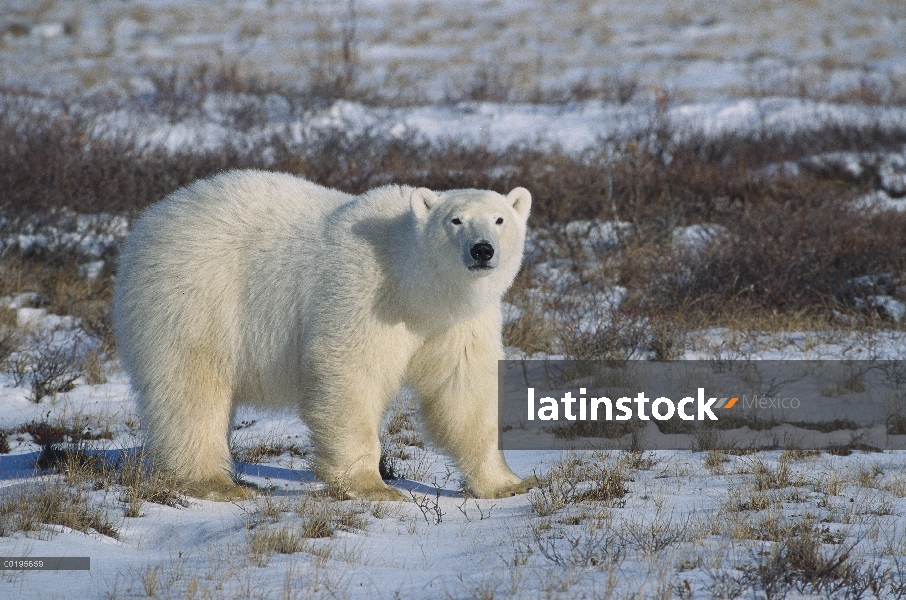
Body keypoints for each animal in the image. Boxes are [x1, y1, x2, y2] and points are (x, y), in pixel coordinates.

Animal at [115, 170, 536, 502]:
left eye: (500, 219)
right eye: (456, 220)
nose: (482, 251)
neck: (418, 287)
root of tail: (150, 220)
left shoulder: (458, 322)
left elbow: (465, 389)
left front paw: (509, 483)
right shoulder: (365, 294)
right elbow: (350, 372)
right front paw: (373, 486)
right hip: (194, 298)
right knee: (193, 388)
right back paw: (215, 482)